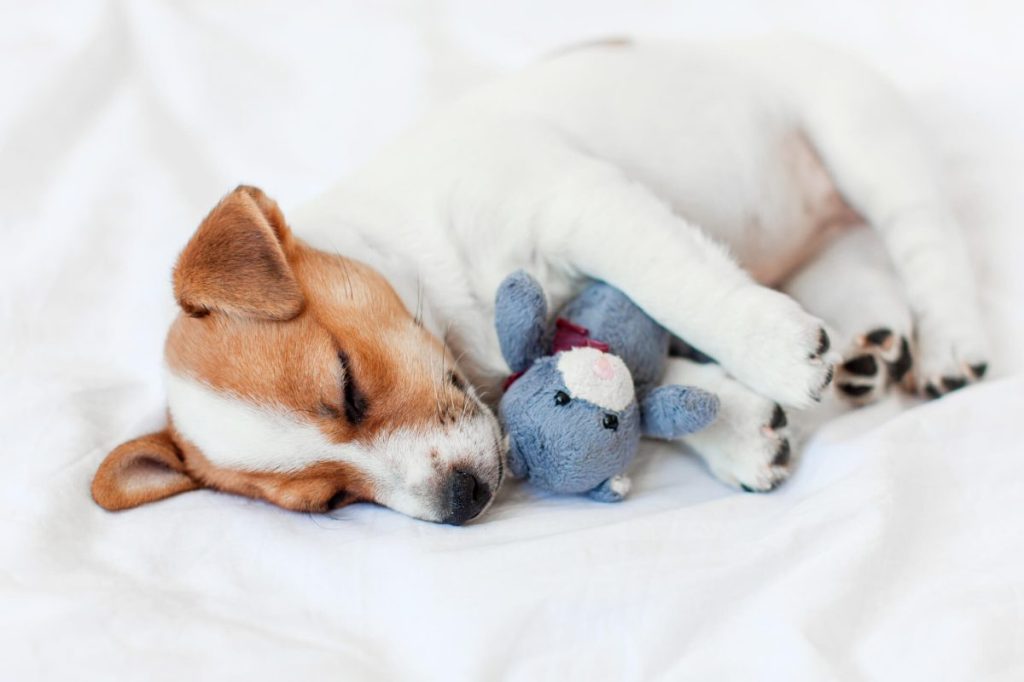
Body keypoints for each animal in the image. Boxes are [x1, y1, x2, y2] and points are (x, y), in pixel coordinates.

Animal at [92, 35, 987, 520]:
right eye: (330, 501)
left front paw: (770, 353)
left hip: (856, 135)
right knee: (866, 268)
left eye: (347, 386)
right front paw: (735, 427)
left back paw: (950, 343)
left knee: (928, 242)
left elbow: (678, 285)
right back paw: (874, 347)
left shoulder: (583, 206)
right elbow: (639, 379)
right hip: (826, 243)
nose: (460, 505)